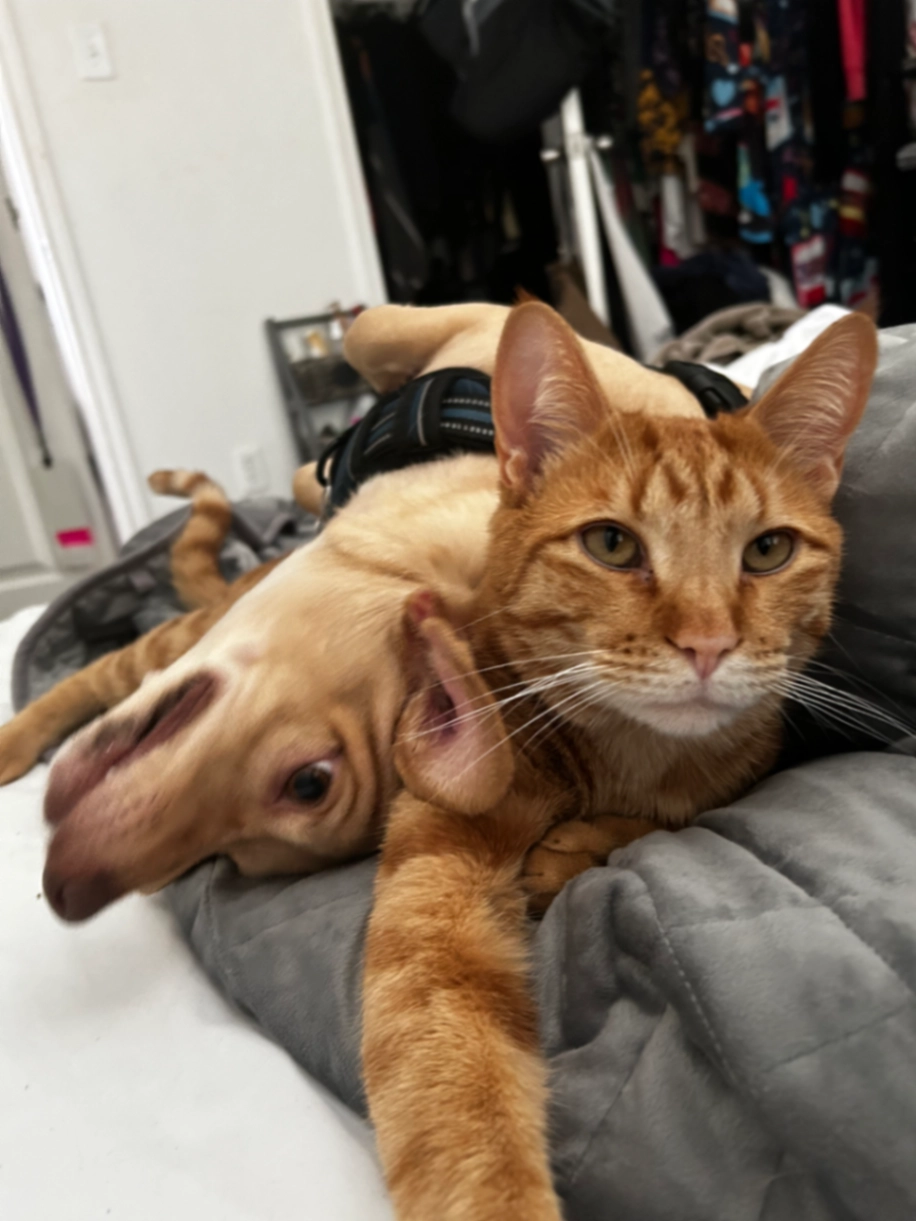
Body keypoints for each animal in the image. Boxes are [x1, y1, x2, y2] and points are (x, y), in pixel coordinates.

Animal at [361, 303, 878, 1221]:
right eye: (610, 543)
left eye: (769, 550)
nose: (707, 644)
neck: (631, 759)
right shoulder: (435, 882)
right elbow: (449, 1081)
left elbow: (681, 808)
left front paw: (586, 841)